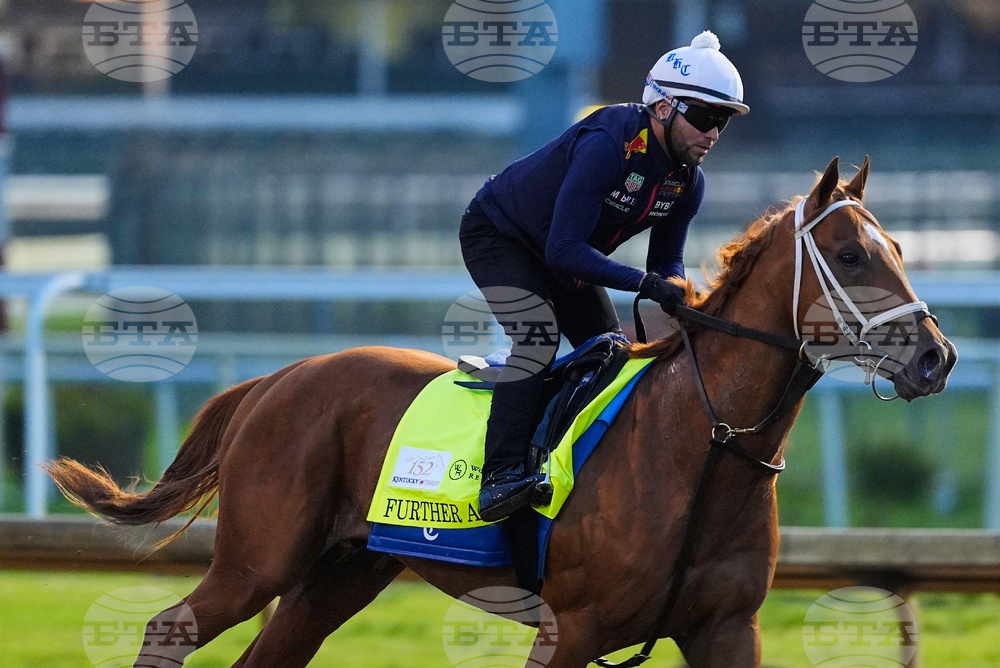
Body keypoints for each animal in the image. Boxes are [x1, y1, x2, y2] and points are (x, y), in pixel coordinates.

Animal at [46, 157, 956, 668]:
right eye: (850, 254)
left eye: (898, 250)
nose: (936, 357)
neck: (700, 447)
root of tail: (278, 380)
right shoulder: (571, 630)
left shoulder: (726, 630)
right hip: (258, 560)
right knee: (168, 629)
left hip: (339, 574)